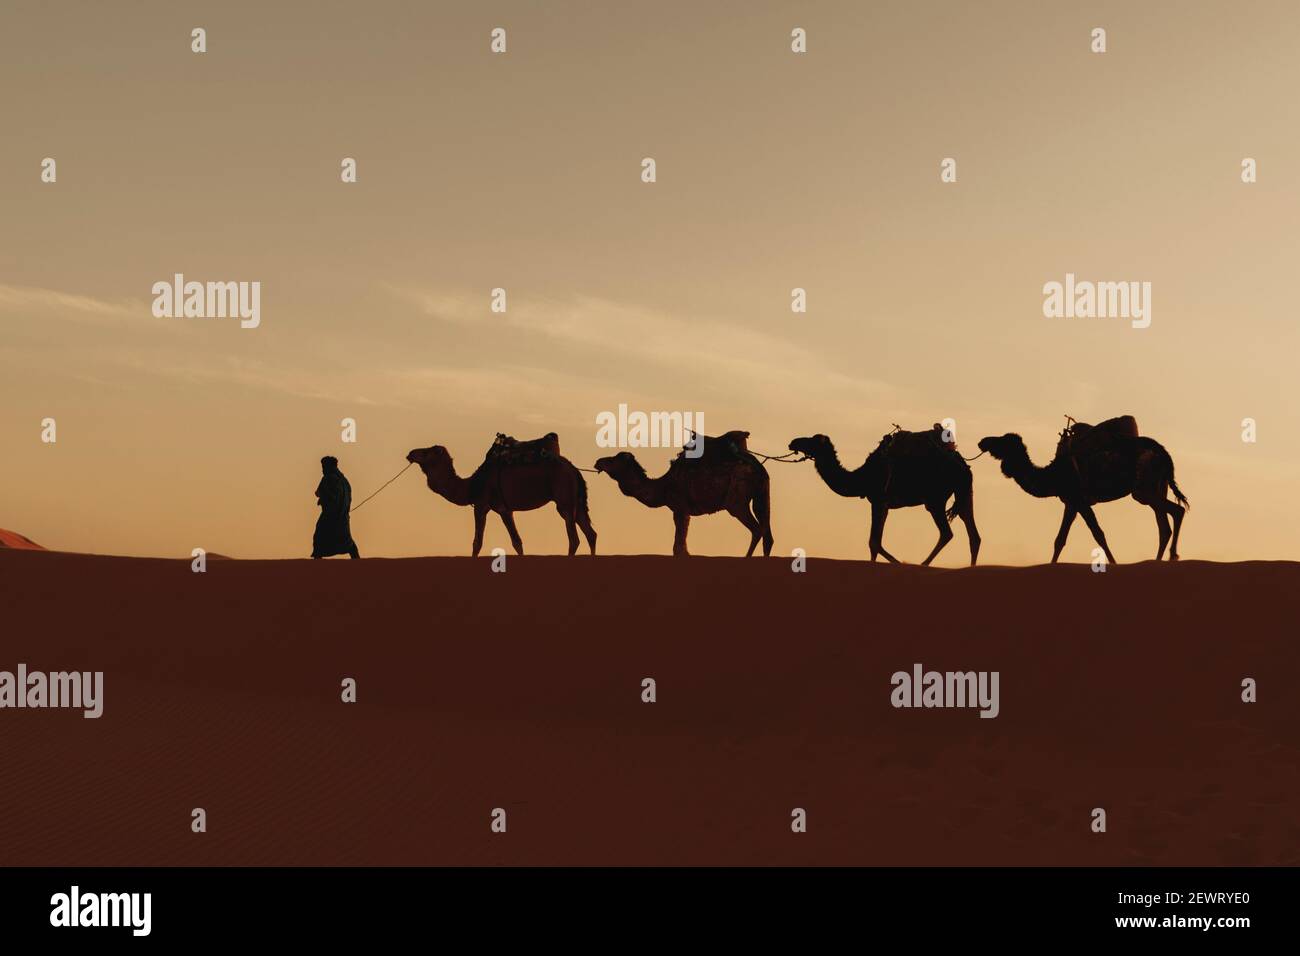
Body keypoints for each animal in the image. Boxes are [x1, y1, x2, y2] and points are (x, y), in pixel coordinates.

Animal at [403, 439, 595, 556]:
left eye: (427, 452)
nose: (411, 453)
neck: (472, 485)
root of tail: (574, 470)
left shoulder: (483, 505)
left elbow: (477, 542)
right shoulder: (505, 510)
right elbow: (517, 542)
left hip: (564, 499)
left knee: (574, 538)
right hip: (576, 500)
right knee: (591, 533)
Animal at [595, 429, 769, 556]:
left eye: (614, 459)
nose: (598, 462)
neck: (663, 486)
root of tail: (758, 467)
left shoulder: (679, 507)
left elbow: (679, 546)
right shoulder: (685, 511)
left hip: (736, 500)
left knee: (757, 529)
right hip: (760, 494)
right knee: (767, 533)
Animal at [785, 429, 977, 567]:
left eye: (813, 440)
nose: (793, 442)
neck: (862, 477)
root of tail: (963, 466)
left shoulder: (878, 500)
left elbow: (874, 542)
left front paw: (898, 562)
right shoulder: (884, 505)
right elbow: (875, 543)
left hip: (935, 499)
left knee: (947, 533)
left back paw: (924, 563)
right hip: (964, 493)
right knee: (973, 533)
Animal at [977, 416, 1190, 564]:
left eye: (1002, 441)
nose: (982, 441)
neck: (1054, 475)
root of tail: (1162, 452)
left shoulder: (1079, 499)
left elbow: (1099, 534)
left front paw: (1114, 562)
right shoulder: (1071, 503)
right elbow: (1060, 539)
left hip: (1144, 489)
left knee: (1177, 511)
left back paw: (1172, 556)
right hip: (1157, 486)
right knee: (1165, 525)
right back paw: (1161, 559)